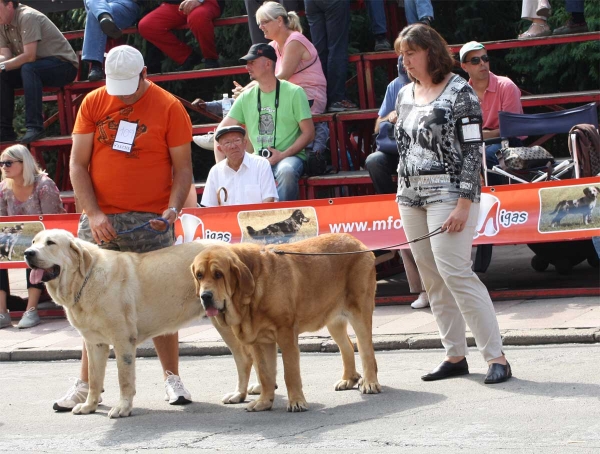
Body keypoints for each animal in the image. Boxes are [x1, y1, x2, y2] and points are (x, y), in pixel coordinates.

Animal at [22, 231, 253, 418]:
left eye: (50, 243)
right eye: (34, 241)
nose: (27, 253)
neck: (85, 279)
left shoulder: (123, 340)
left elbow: (124, 378)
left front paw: (122, 408)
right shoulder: (94, 343)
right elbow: (94, 378)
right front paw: (89, 405)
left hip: (227, 321)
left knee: (245, 358)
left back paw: (240, 394)